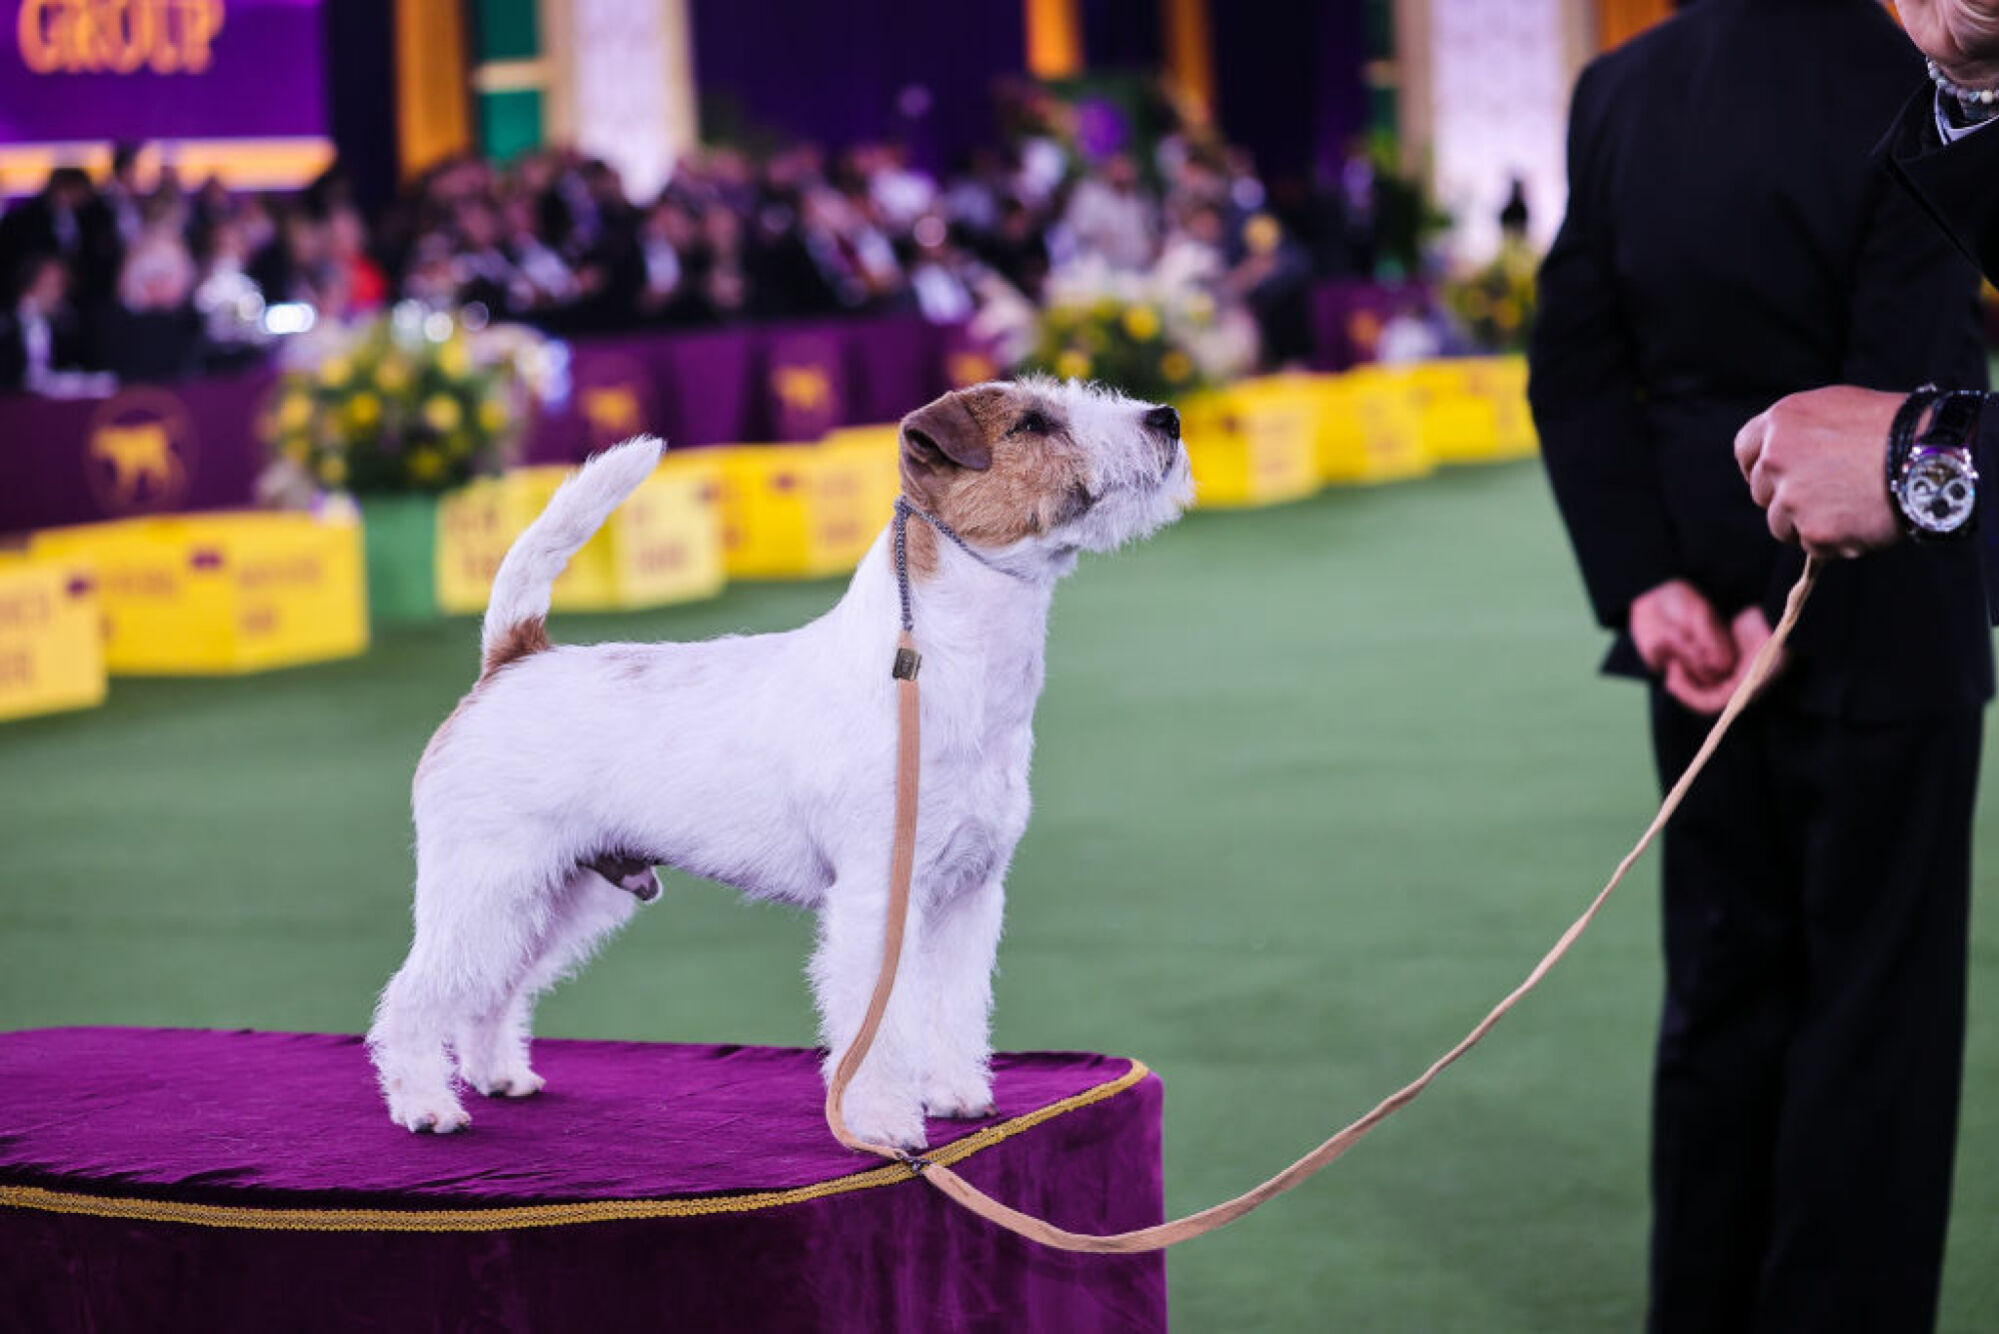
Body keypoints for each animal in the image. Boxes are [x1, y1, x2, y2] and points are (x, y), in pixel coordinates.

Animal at [369, 376, 1183, 1152]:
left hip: (560, 892)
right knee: (415, 995)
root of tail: (512, 660)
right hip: (489, 884)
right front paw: (882, 1127)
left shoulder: (968, 895)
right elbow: (878, 1028)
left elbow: (954, 1007)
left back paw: (498, 1075)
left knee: (491, 992)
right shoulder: (877, 899)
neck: (938, 672)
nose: (1167, 418)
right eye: (1032, 424)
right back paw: (426, 1106)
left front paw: (956, 1096)